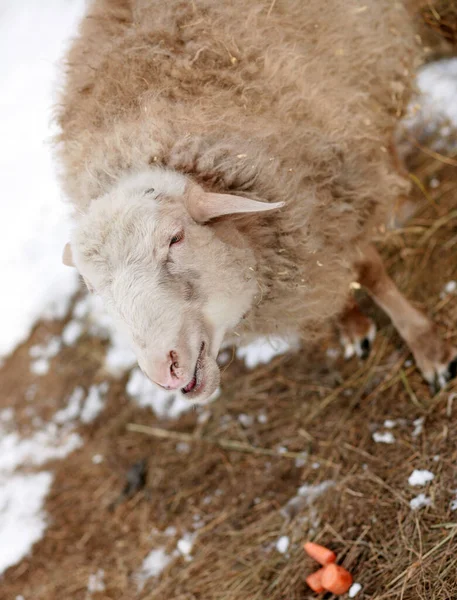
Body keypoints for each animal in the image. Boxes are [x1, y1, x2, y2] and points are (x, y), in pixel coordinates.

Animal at [54, 1, 456, 404]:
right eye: (93, 288)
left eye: (175, 239)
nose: (164, 371)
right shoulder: (313, 218)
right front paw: (351, 322)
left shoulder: (336, 191)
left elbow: (371, 274)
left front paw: (428, 348)